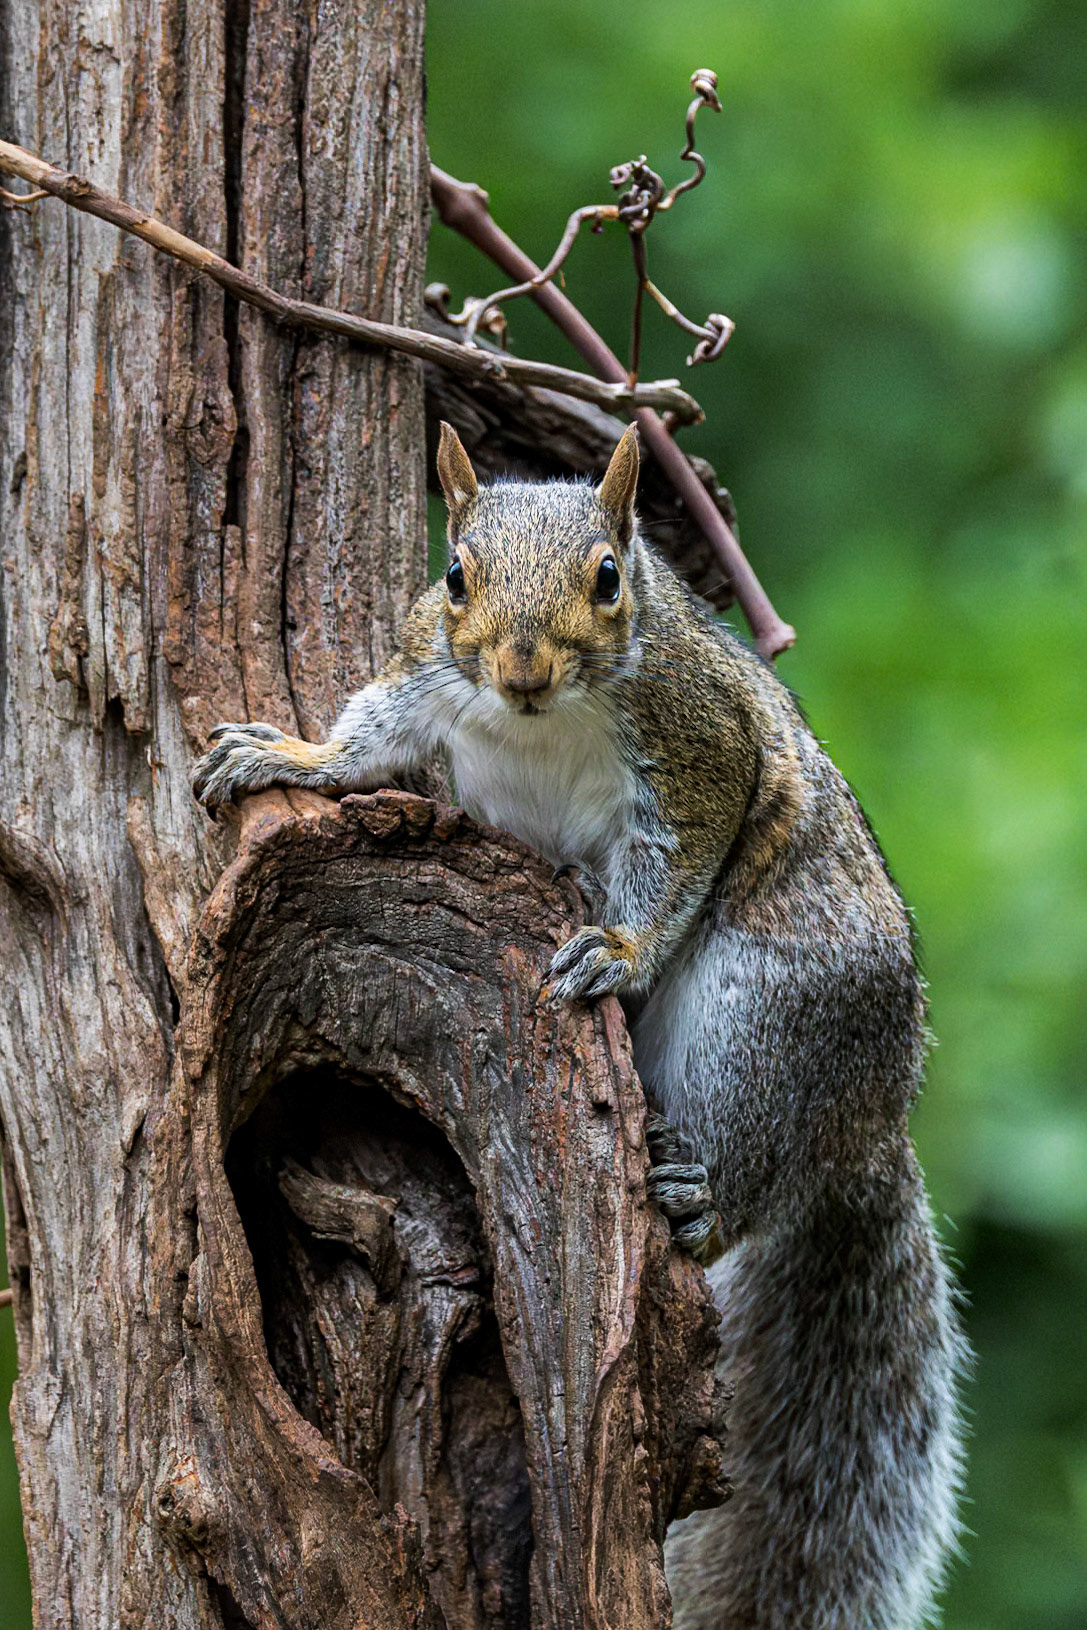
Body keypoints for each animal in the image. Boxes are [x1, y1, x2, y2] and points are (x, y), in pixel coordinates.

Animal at [192, 422, 965, 1629]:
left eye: (608, 577)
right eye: (453, 574)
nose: (520, 669)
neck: (538, 721)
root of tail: (871, 1121)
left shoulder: (702, 743)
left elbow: (683, 852)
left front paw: (622, 951)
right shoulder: (420, 674)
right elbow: (366, 742)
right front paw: (289, 755)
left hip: (771, 1015)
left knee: (750, 1159)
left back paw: (701, 1192)